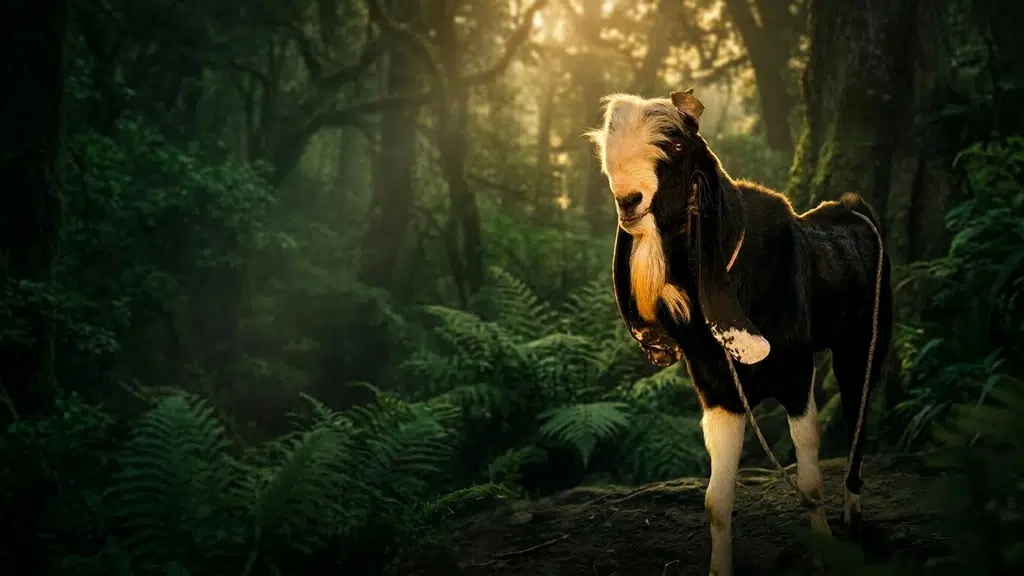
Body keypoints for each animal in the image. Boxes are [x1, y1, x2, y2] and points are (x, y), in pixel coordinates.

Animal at [587, 90, 893, 576]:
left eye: (675, 146)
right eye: (605, 158)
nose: (629, 201)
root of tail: (853, 209)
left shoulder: (796, 377)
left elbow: (809, 483)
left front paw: (825, 553)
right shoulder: (720, 395)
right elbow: (716, 500)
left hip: (863, 348)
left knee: (857, 427)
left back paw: (854, 519)